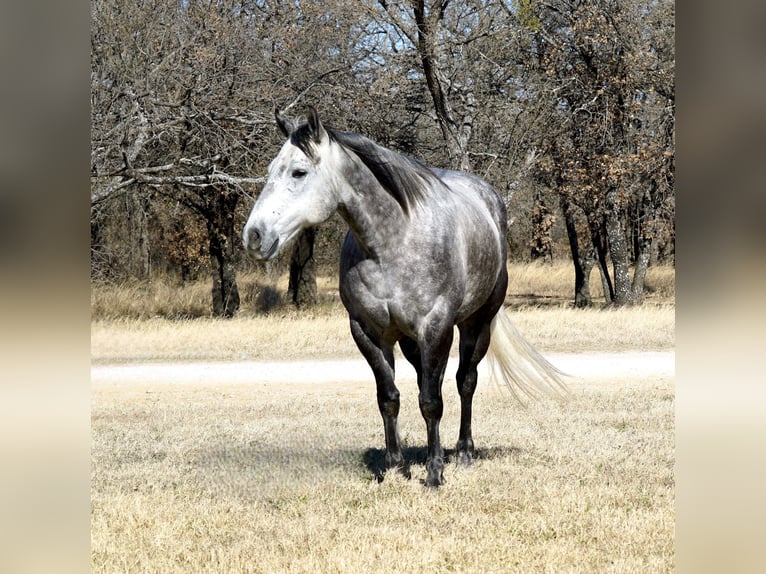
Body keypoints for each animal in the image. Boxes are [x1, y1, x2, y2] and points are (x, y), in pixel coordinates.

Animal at [243, 107, 567, 487]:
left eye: (299, 172)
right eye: (270, 171)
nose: (253, 236)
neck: (391, 244)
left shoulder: (436, 328)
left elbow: (432, 402)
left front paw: (434, 473)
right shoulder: (368, 332)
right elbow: (389, 398)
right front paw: (395, 467)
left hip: (477, 325)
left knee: (465, 382)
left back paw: (464, 453)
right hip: (413, 342)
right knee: (431, 381)